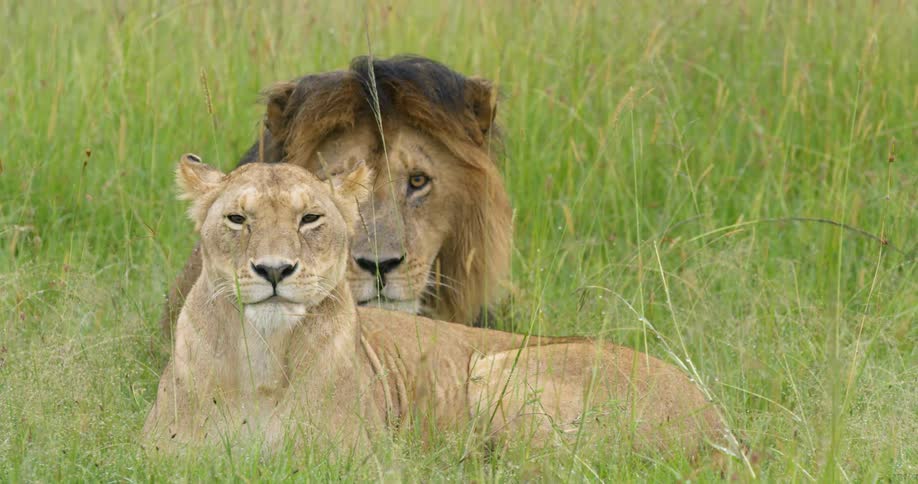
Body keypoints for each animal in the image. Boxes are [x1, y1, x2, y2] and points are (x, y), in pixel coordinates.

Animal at [144, 154, 726, 459]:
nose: (273, 270)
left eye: (310, 219)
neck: (262, 354)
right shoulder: (162, 456)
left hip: (495, 371)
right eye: (237, 220)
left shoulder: (358, 459)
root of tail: (718, 425)